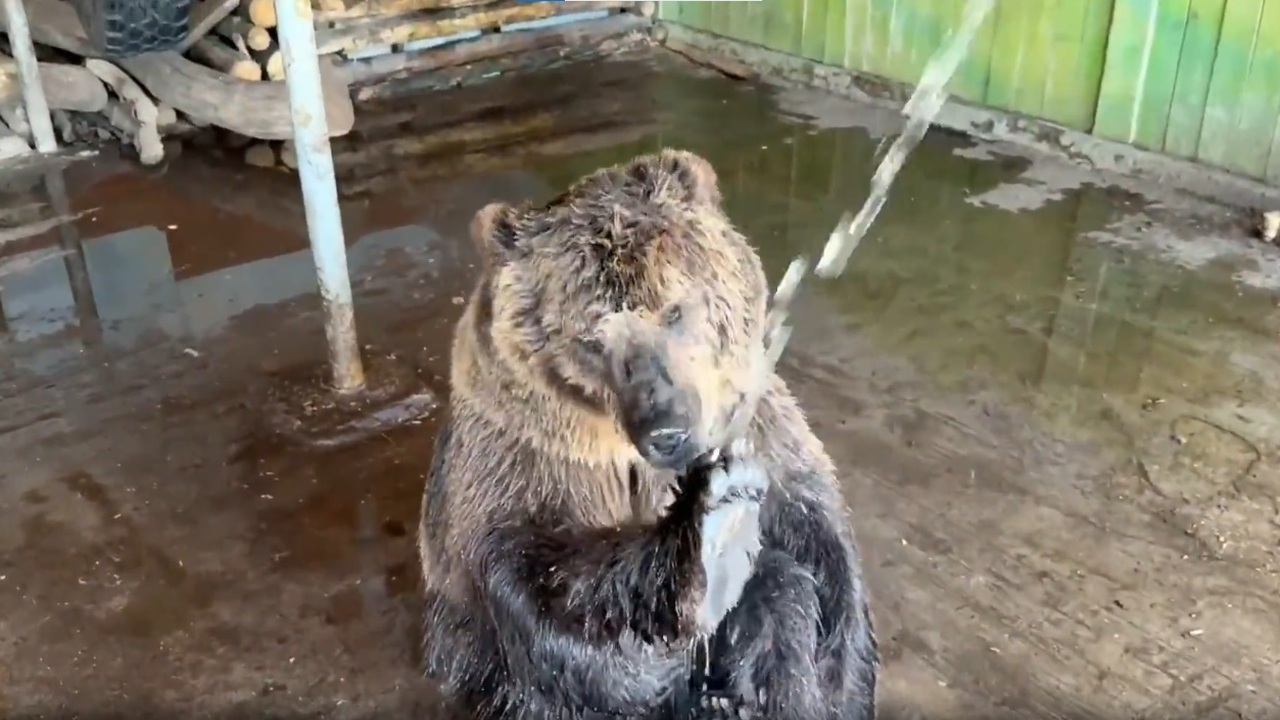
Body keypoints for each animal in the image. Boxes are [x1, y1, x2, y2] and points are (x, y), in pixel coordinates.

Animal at [416, 149, 878, 720]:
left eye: (674, 309)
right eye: (590, 339)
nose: (665, 429)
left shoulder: (765, 427)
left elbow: (818, 535)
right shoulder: (518, 457)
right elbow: (538, 580)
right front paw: (708, 547)